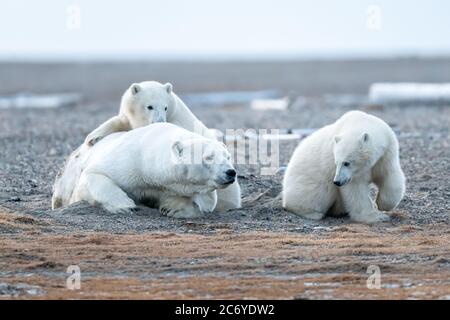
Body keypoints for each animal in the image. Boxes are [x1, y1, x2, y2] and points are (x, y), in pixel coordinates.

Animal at [51, 122, 237, 218]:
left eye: (228, 157)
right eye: (209, 157)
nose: (231, 172)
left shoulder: (167, 185)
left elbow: (203, 202)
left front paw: (173, 208)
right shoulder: (128, 160)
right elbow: (94, 174)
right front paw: (125, 206)